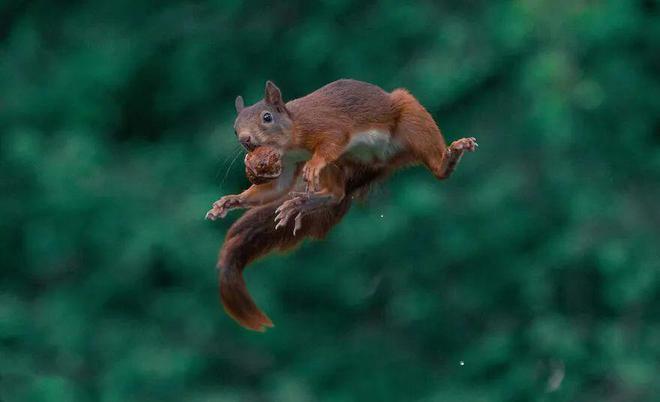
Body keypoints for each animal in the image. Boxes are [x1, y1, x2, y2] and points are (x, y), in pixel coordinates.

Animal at [205, 79, 474, 330]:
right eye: (234, 128)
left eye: (267, 117)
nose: (245, 140)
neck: (290, 140)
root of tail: (382, 162)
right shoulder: (287, 165)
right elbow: (277, 188)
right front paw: (231, 200)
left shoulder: (325, 125)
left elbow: (333, 139)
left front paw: (313, 162)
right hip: (342, 163)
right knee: (336, 194)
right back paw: (304, 202)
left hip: (409, 118)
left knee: (434, 164)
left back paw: (449, 158)